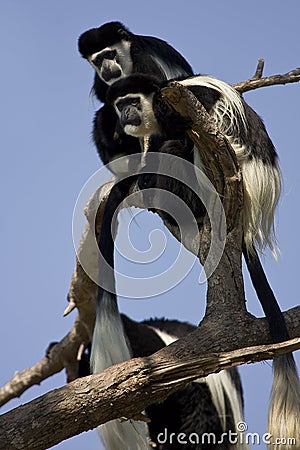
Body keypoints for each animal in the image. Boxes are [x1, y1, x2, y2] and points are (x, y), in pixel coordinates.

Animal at [78, 22, 193, 175]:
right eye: (98, 60)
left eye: (110, 54)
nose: (107, 69)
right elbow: (104, 97)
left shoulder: (143, 58)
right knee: (102, 115)